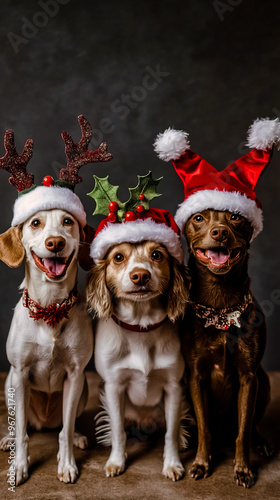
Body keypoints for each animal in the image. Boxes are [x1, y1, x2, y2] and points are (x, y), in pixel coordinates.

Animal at [0, 208, 94, 484]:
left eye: (68, 221)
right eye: (35, 222)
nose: (55, 242)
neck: (50, 307)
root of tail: (42, 422)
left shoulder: (75, 375)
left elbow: (67, 429)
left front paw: (67, 463)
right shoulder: (20, 375)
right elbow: (22, 431)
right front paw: (19, 466)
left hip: (83, 389)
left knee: (65, 423)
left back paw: (77, 436)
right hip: (9, 387)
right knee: (19, 424)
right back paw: (8, 439)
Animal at [86, 240, 189, 482]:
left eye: (157, 254)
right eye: (118, 257)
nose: (140, 275)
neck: (141, 326)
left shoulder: (174, 387)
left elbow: (170, 432)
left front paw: (172, 464)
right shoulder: (114, 387)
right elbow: (118, 430)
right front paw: (116, 462)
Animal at [180, 208, 272, 488]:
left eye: (235, 217)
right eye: (199, 218)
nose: (220, 232)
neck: (220, 305)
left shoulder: (249, 377)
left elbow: (243, 431)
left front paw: (243, 469)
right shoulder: (195, 376)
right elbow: (204, 428)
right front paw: (201, 463)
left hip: (264, 382)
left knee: (251, 425)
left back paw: (261, 442)